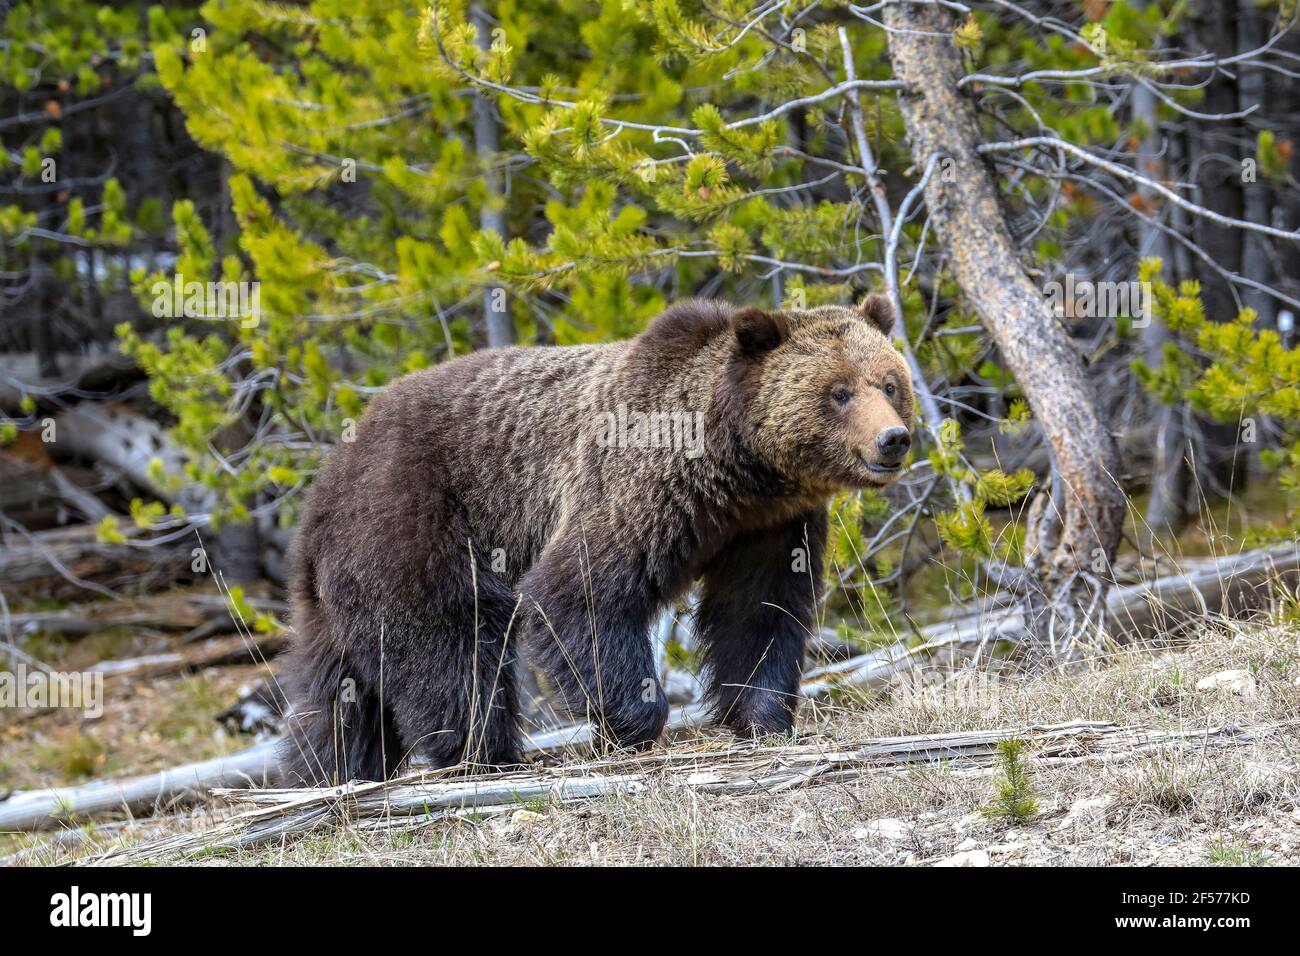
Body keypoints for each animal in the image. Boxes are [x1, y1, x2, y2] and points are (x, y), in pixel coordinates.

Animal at [282, 297, 915, 785]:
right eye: (839, 392)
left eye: (889, 383)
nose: (894, 438)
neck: (736, 471)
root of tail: (327, 478)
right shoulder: (640, 484)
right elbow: (579, 591)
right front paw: (634, 726)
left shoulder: (766, 527)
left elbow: (758, 611)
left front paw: (764, 716)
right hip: (416, 521)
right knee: (448, 641)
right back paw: (484, 755)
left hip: (337, 590)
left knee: (337, 692)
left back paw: (329, 774)